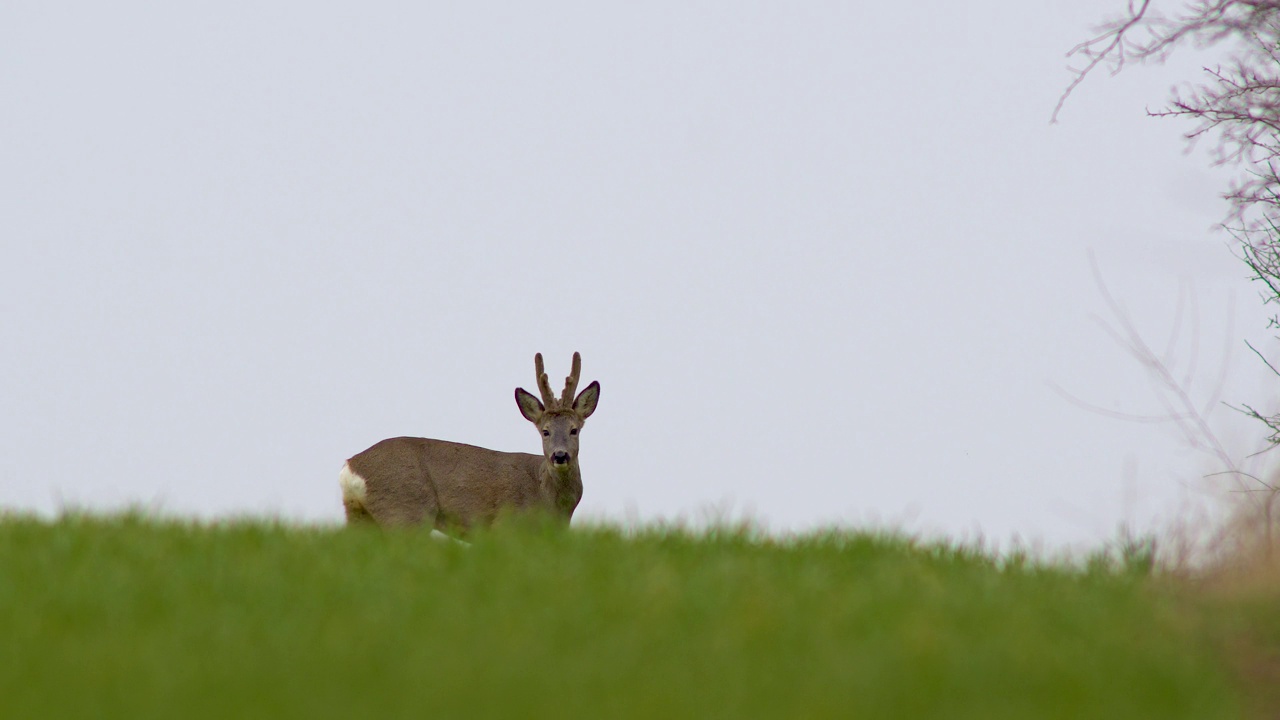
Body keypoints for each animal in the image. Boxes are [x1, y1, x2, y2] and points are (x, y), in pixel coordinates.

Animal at [340, 351, 599, 530]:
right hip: (405, 510)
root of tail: (350, 467)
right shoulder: (506, 525)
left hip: (360, 516)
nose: (560, 455)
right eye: (545, 431)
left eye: (574, 430)